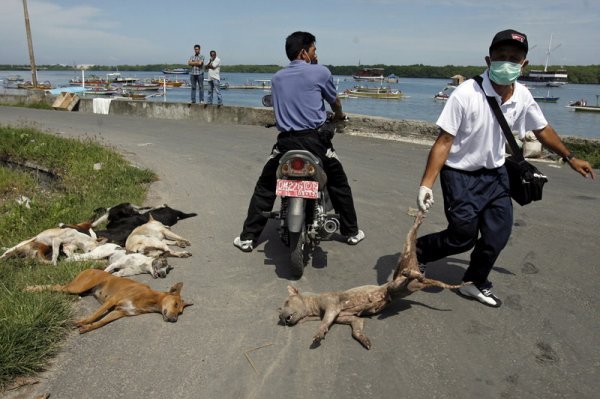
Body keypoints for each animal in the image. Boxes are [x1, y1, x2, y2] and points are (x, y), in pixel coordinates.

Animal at [25, 268, 190, 334]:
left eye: (180, 312)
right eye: (175, 304)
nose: (174, 320)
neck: (150, 299)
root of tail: (91, 268)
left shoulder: (120, 312)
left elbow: (101, 322)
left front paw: (87, 328)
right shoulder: (112, 301)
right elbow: (96, 315)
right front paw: (82, 322)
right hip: (78, 287)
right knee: (57, 287)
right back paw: (30, 289)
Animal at [278, 211, 468, 352]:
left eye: (286, 302)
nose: (280, 317)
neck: (314, 308)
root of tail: (414, 267)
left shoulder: (332, 305)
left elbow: (325, 322)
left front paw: (319, 333)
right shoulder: (351, 318)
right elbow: (357, 328)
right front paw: (364, 340)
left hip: (401, 271)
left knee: (410, 251)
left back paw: (418, 220)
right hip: (408, 285)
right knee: (416, 278)